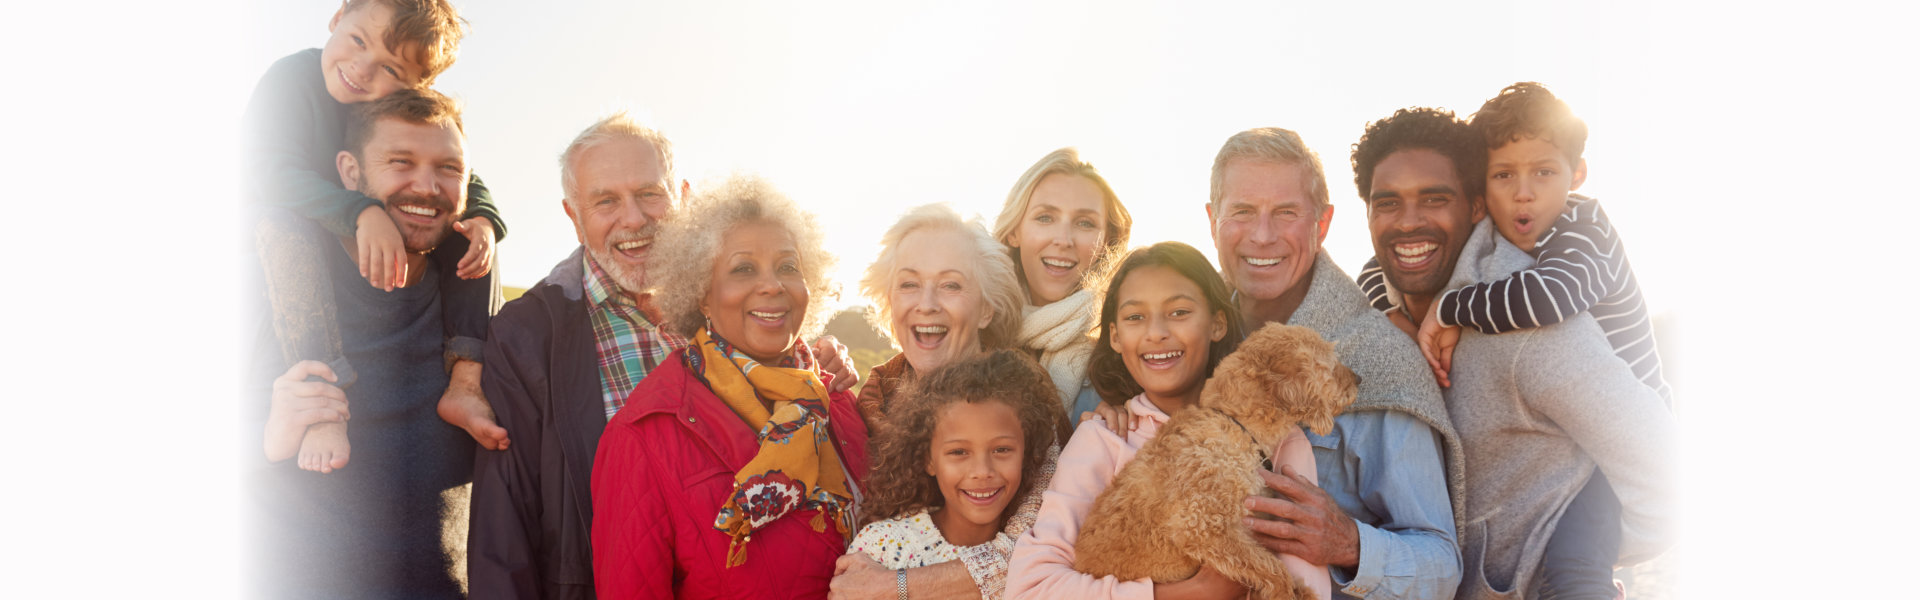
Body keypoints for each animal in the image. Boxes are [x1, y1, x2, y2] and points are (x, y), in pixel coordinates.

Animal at [1075, 323, 1359, 600]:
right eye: (1330, 364)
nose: (1359, 379)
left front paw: (1300, 592)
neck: (1236, 426)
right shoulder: (1203, 527)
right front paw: (1285, 593)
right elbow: (1272, 568)